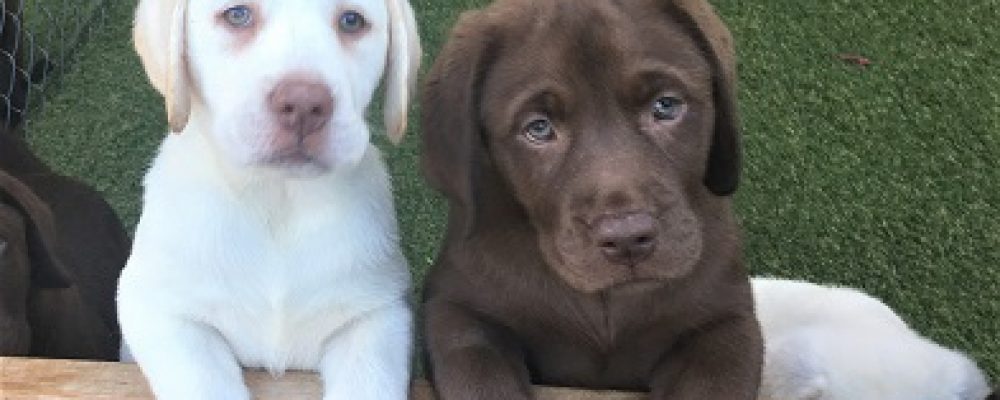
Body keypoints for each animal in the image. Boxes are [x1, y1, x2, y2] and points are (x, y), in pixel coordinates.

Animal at [117, 0, 420, 399]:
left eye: (352, 21)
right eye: (237, 15)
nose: (304, 104)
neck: (277, 202)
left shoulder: (376, 314)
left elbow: (369, 383)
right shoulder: (158, 308)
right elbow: (205, 383)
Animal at [420, 0, 761, 398]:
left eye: (666, 107)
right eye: (538, 128)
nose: (628, 239)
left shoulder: (725, 322)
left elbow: (715, 383)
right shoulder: (455, 309)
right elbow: (477, 373)